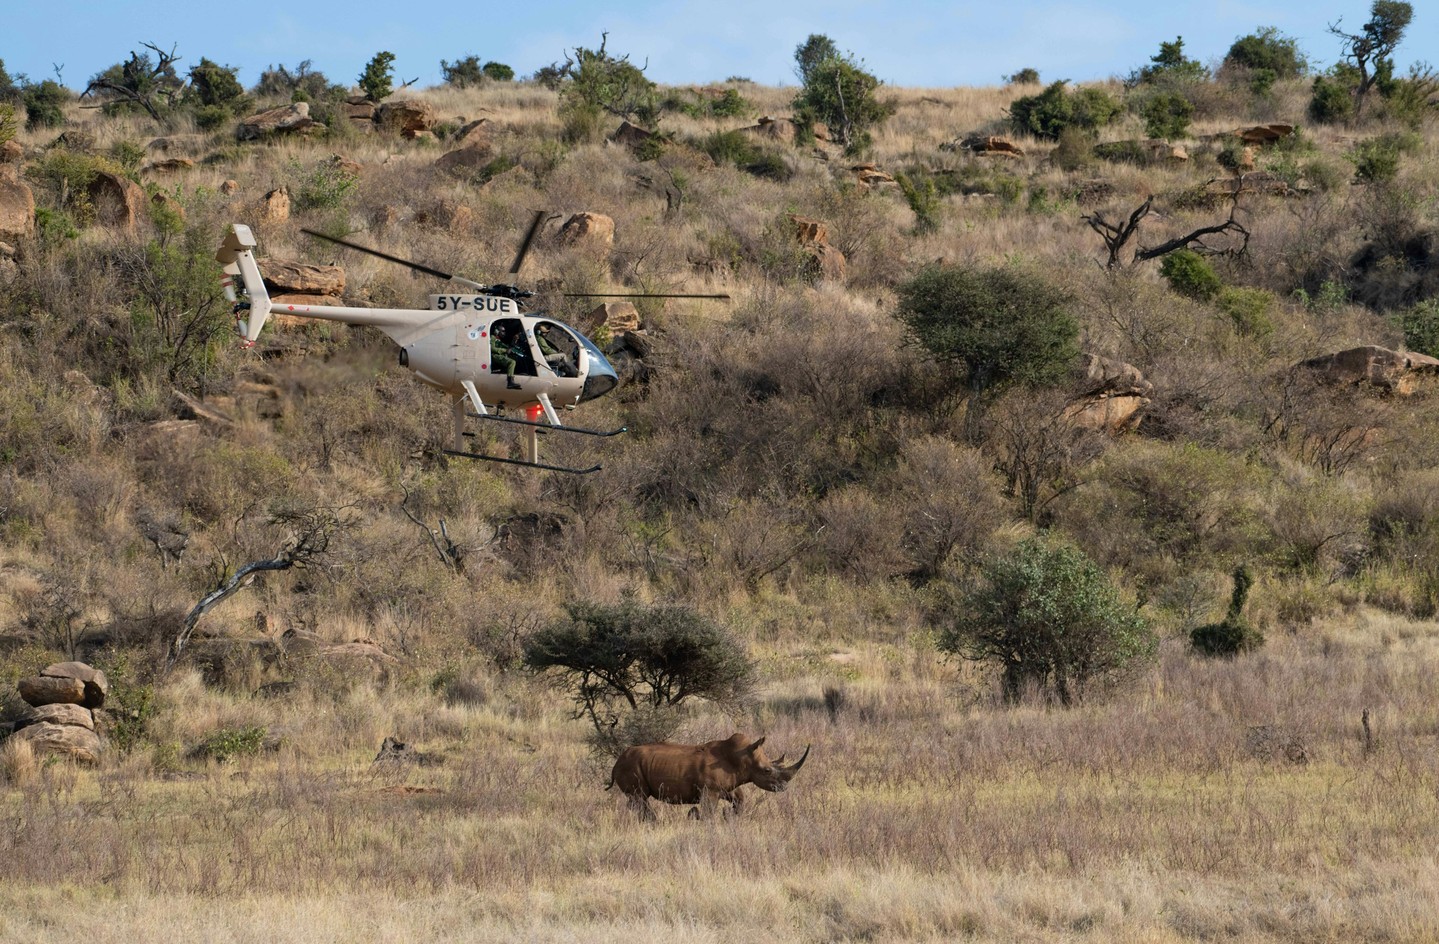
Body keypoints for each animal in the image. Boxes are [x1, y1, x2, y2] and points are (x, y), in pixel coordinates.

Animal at [609, 732, 811, 820]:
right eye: (767, 771)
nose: (784, 787)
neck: (742, 758)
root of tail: (616, 762)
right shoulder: (710, 790)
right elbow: (708, 812)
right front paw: (696, 815)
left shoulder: (726, 786)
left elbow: (740, 799)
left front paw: (729, 815)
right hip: (630, 766)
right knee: (640, 798)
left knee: (637, 800)